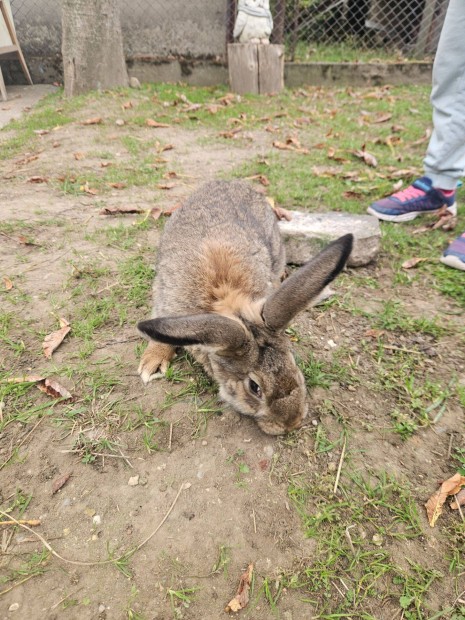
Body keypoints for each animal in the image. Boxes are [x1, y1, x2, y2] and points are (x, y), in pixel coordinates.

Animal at [138, 179, 352, 434]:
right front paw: (152, 364)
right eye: (254, 387)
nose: (291, 424)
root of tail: (229, 182)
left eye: (294, 362)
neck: (228, 301)